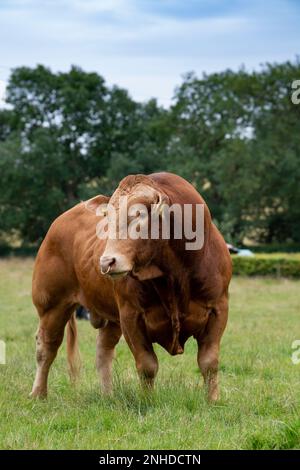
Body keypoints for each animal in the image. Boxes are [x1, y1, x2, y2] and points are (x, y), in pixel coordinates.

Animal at [31, 173, 232, 400]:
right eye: (107, 218)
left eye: (139, 215)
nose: (106, 262)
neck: (174, 274)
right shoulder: (131, 316)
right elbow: (147, 365)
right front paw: (148, 400)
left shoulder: (218, 309)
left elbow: (209, 363)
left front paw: (212, 400)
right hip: (52, 305)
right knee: (46, 347)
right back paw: (38, 393)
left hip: (109, 318)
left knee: (103, 351)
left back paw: (107, 395)